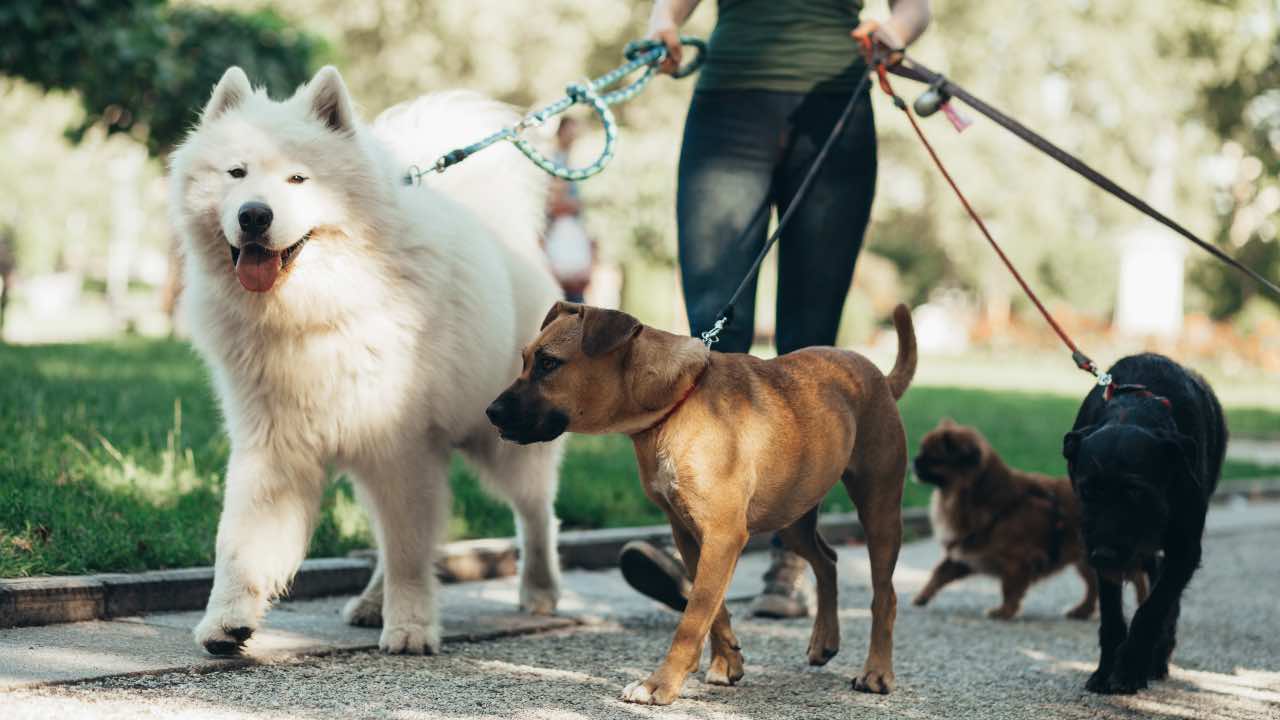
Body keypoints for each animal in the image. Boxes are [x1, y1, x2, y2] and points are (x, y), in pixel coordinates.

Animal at [167, 64, 563, 653]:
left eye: (299, 180)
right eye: (236, 173)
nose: (254, 215)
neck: (316, 310)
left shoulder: (400, 444)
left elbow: (409, 552)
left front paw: (411, 627)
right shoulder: (273, 445)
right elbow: (241, 543)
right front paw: (227, 621)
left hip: (503, 442)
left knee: (536, 516)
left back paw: (539, 590)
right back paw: (373, 603)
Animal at [483, 299, 916, 702]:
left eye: (549, 363)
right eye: (525, 359)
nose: (490, 412)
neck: (675, 404)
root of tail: (878, 376)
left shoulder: (722, 536)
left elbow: (692, 621)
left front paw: (661, 683)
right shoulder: (690, 534)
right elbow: (712, 608)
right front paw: (727, 661)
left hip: (879, 511)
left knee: (885, 595)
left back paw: (877, 672)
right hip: (792, 514)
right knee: (827, 562)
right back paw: (825, 640)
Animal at [911, 420, 1152, 617]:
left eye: (932, 457)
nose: (914, 460)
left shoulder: (1017, 561)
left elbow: (1010, 589)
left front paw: (1003, 612)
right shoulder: (965, 554)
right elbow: (939, 572)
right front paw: (922, 597)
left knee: (1138, 578)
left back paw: (1140, 603)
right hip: (1086, 560)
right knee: (1094, 585)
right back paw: (1081, 611)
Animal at [1059, 351, 1228, 691]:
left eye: (1136, 491)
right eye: (1087, 490)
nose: (1104, 555)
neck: (1133, 412)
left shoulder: (1185, 550)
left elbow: (1153, 609)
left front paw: (1129, 669)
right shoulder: (1098, 550)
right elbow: (1112, 615)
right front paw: (1105, 670)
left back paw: (1156, 660)